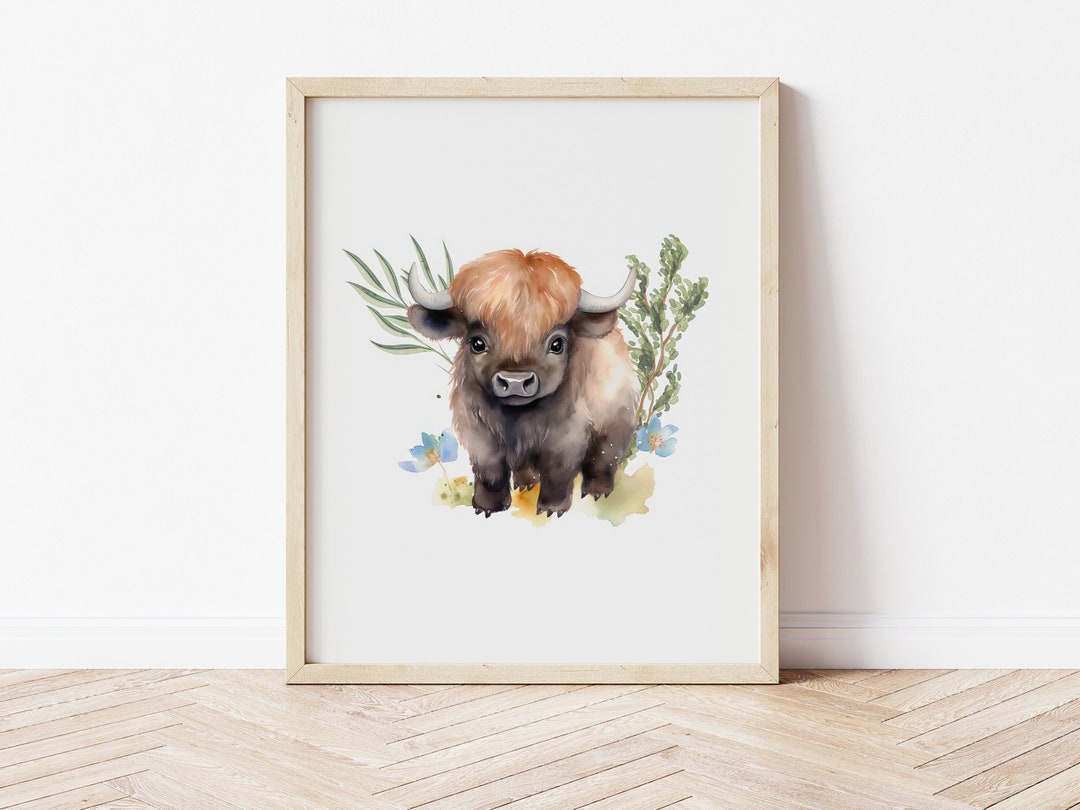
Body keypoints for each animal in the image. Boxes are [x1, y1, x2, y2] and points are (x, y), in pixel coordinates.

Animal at [407, 249, 641, 517]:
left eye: (557, 344)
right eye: (477, 343)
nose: (515, 382)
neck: (517, 419)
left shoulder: (567, 438)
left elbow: (558, 474)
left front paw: (551, 508)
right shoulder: (478, 435)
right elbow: (491, 473)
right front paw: (487, 506)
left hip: (616, 422)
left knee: (604, 457)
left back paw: (597, 491)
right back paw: (525, 483)